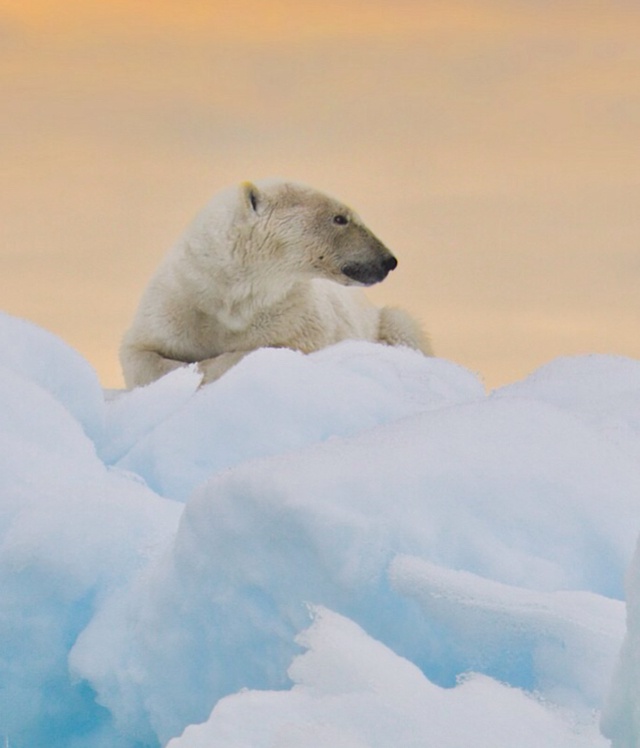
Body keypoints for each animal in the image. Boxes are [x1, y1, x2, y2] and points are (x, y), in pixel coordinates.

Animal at [119, 180, 430, 386]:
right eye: (340, 218)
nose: (388, 260)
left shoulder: (294, 316)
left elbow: (267, 350)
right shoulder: (176, 304)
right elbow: (139, 353)